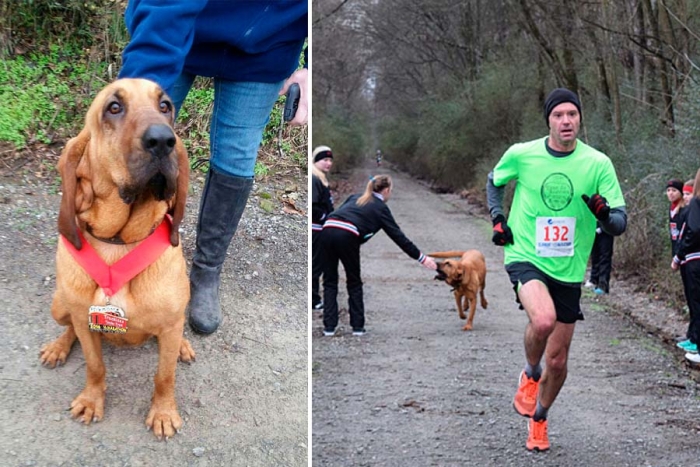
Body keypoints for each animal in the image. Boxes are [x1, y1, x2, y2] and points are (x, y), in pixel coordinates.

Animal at [40, 78, 194, 440]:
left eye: (165, 106)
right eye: (114, 107)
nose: (163, 140)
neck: (119, 241)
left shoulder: (170, 324)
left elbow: (164, 376)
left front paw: (163, 413)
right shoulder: (84, 318)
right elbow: (95, 366)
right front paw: (91, 400)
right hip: (59, 305)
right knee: (69, 328)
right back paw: (58, 347)